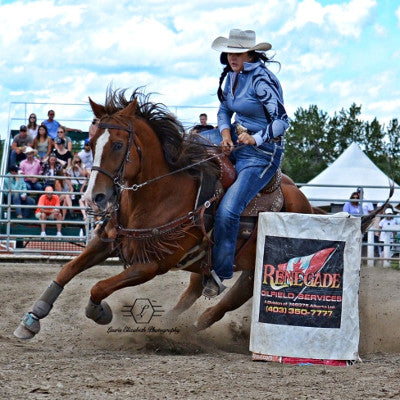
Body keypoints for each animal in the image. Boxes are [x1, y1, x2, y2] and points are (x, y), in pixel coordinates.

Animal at [14, 89, 386, 340]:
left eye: (118, 145)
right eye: (90, 144)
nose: (95, 197)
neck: (159, 193)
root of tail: (308, 205)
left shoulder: (151, 264)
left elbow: (99, 286)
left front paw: (100, 312)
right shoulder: (108, 240)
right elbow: (66, 270)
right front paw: (31, 320)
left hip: (257, 268)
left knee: (228, 301)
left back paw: (190, 330)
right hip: (205, 263)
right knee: (193, 293)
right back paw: (172, 325)